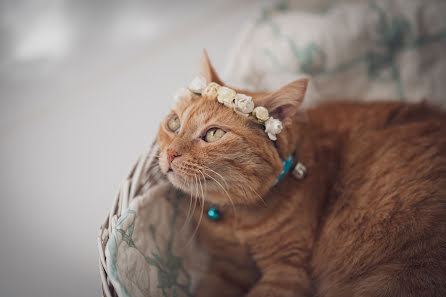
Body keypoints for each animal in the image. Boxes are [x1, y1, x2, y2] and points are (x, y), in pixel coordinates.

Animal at [157, 51, 446, 296]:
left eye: (214, 134)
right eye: (174, 123)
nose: (170, 153)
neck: (237, 221)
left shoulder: (287, 270)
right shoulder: (226, 267)